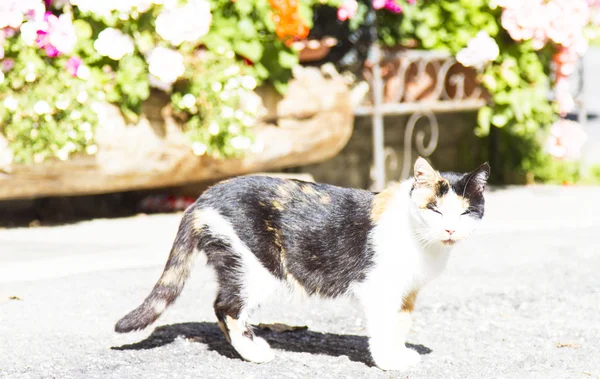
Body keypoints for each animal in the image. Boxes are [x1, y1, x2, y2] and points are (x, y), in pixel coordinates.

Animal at [115, 157, 490, 372]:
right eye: (435, 209)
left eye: (466, 213)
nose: (450, 229)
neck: (422, 241)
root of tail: (203, 197)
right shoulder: (378, 289)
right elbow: (383, 328)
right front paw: (387, 362)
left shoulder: (406, 292)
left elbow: (400, 325)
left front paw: (399, 354)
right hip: (257, 267)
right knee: (226, 307)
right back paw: (254, 353)